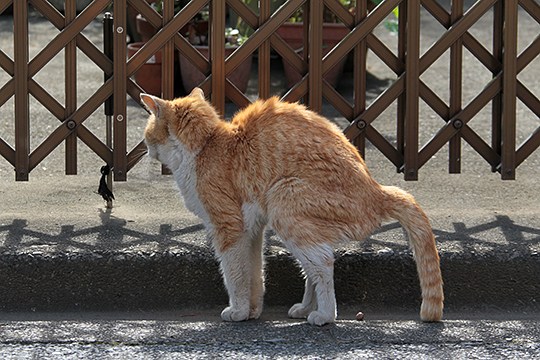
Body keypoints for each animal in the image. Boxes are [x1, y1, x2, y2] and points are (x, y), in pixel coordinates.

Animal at [142, 88, 442, 326]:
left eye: (147, 131)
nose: (145, 147)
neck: (205, 146)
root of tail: (377, 192)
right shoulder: (252, 231)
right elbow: (254, 273)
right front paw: (252, 311)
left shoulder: (228, 228)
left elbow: (234, 274)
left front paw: (238, 311)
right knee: (314, 266)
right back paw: (306, 308)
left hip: (283, 198)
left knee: (323, 263)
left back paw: (324, 316)